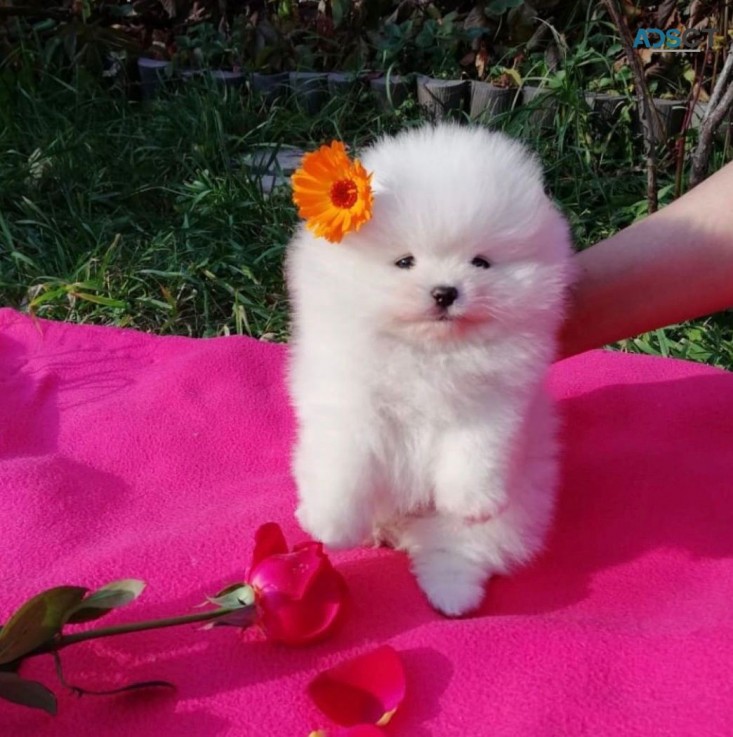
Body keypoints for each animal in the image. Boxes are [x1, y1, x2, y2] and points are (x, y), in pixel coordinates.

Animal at [284, 122, 576, 616]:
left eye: (481, 262)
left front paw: (472, 499)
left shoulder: (495, 402)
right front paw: (330, 525)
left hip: (516, 507)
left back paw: (452, 595)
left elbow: (475, 452)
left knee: (460, 548)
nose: (445, 292)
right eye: (405, 262)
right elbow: (345, 466)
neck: (429, 353)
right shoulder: (351, 403)